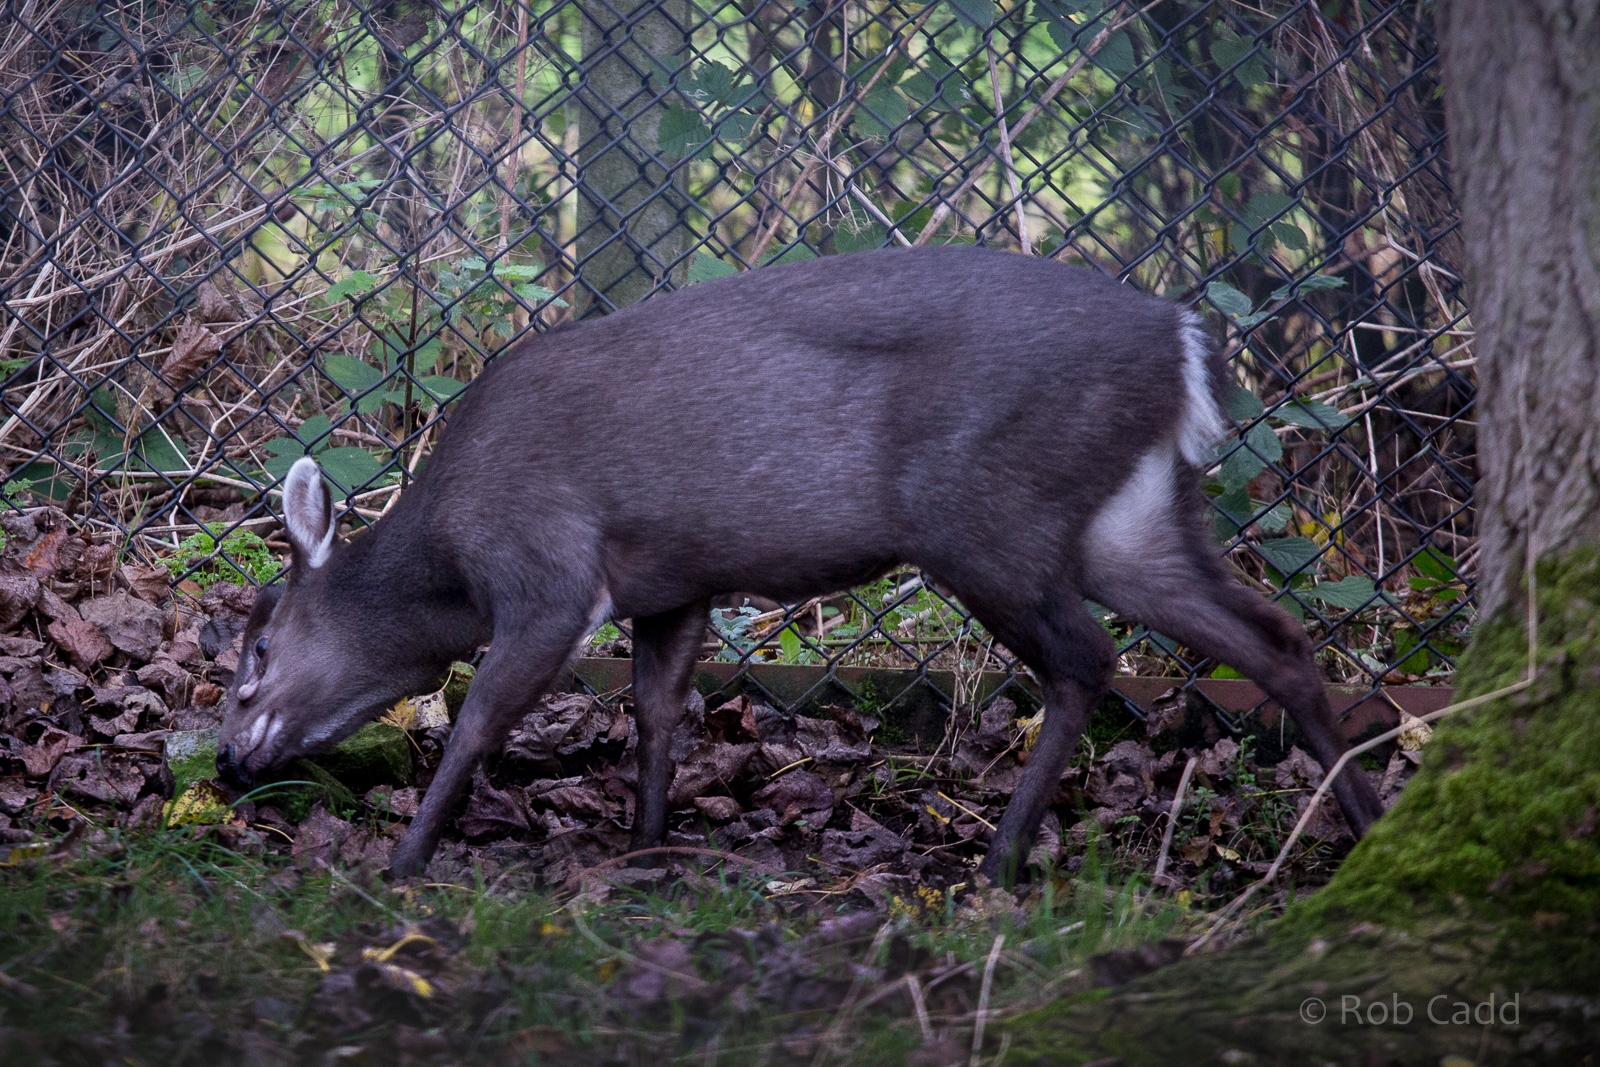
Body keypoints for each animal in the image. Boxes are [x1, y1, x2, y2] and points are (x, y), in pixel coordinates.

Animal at [215, 246, 1385, 883]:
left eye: (257, 648)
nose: (227, 759)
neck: (449, 550)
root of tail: (1182, 340)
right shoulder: (672, 583)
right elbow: (657, 710)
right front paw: (647, 844)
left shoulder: (546, 570)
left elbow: (479, 716)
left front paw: (407, 861)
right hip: (1130, 520)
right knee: (1276, 638)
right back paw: (1370, 826)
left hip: (984, 513)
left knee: (1086, 659)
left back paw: (1001, 857)